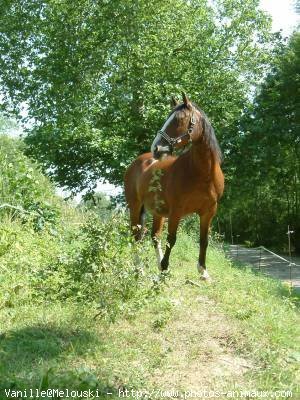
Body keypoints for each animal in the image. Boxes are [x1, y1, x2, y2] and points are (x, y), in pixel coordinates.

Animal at [123, 93, 224, 280]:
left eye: (178, 119)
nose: (156, 147)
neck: (202, 174)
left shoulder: (208, 212)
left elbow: (204, 240)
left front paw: (203, 271)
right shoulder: (176, 211)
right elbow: (172, 239)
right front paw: (164, 270)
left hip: (158, 212)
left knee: (155, 237)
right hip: (135, 206)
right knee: (136, 237)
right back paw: (139, 269)